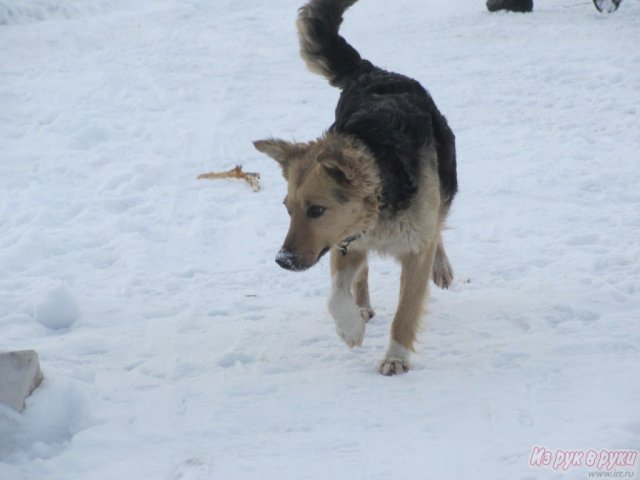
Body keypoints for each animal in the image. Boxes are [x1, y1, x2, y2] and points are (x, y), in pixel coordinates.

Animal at [252, 0, 458, 376]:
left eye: (316, 209)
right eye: (287, 210)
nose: (282, 261)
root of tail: (372, 71)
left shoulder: (415, 248)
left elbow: (406, 310)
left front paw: (395, 357)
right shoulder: (343, 241)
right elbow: (335, 295)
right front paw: (350, 328)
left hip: (445, 180)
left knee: (439, 224)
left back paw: (441, 266)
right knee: (360, 275)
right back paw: (361, 306)